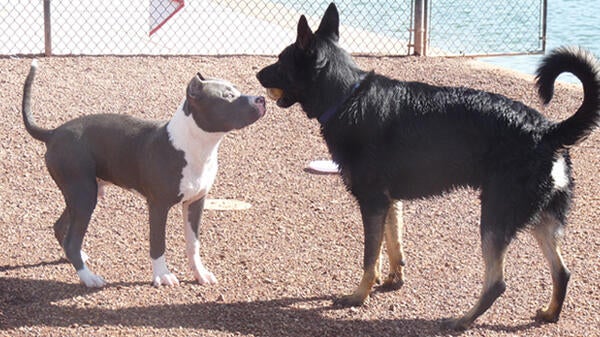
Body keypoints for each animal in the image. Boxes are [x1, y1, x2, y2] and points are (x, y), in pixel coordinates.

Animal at [21, 60, 264, 286]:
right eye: (227, 96)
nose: (261, 99)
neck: (194, 144)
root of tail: (53, 133)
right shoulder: (158, 206)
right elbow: (158, 243)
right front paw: (162, 275)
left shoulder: (196, 202)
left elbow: (193, 244)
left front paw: (200, 273)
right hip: (83, 196)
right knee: (72, 239)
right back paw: (89, 278)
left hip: (83, 194)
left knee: (61, 228)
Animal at [258, 1, 600, 328]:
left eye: (281, 60)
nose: (259, 74)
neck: (346, 97)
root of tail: (545, 131)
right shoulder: (389, 202)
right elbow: (391, 244)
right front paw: (393, 279)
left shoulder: (372, 202)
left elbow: (370, 256)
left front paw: (359, 295)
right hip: (540, 218)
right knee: (562, 272)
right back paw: (550, 313)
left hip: (495, 217)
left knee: (497, 283)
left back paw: (462, 319)